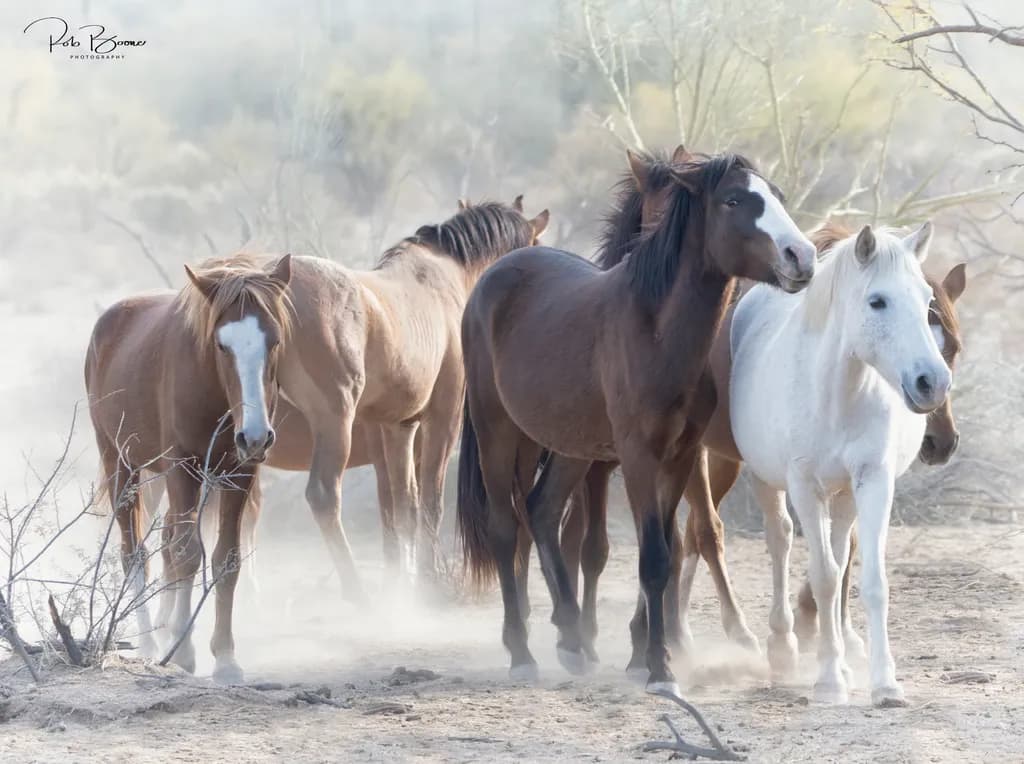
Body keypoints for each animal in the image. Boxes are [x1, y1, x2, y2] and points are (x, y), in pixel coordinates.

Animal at [85, 254, 293, 683]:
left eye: (275, 341)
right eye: (221, 344)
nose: (255, 436)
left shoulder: (238, 474)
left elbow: (225, 559)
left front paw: (225, 657)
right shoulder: (183, 468)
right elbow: (186, 553)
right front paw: (182, 651)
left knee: (164, 543)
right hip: (121, 464)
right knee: (136, 553)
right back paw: (149, 642)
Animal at [457, 148, 816, 695]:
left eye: (775, 195)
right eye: (734, 200)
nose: (802, 256)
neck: (655, 332)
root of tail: (495, 275)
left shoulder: (681, 456)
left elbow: (668, 551)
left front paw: (652, 653)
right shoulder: (637, 458)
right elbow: (650, 558)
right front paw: (659, 667)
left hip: (563, 446)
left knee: (539, 512)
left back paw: (570, 640)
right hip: (498, 431)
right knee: (504, 528)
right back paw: (522, 652)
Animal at [729, 223, 950, 705]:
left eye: (926, 299)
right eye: (877, 301)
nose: (933, 382)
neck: (836, 395)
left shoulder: (874, 481)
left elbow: (870, 581)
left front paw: (885, 683)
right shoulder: (804, 487)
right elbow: (825, 579)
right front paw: (829, 680)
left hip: (846, 495)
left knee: (841, 547)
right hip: (767, 482)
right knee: (781, 542)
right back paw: (783, 647)